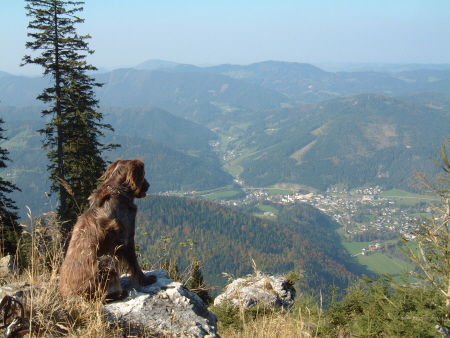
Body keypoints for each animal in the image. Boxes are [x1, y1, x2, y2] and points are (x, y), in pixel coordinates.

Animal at [59, 160, 156, 300]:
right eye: (143, 174)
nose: (148, 185)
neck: (118, 192)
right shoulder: (127, 237)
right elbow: (135, 264)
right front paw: (146, 280)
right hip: (106, 259)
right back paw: (119, 293)